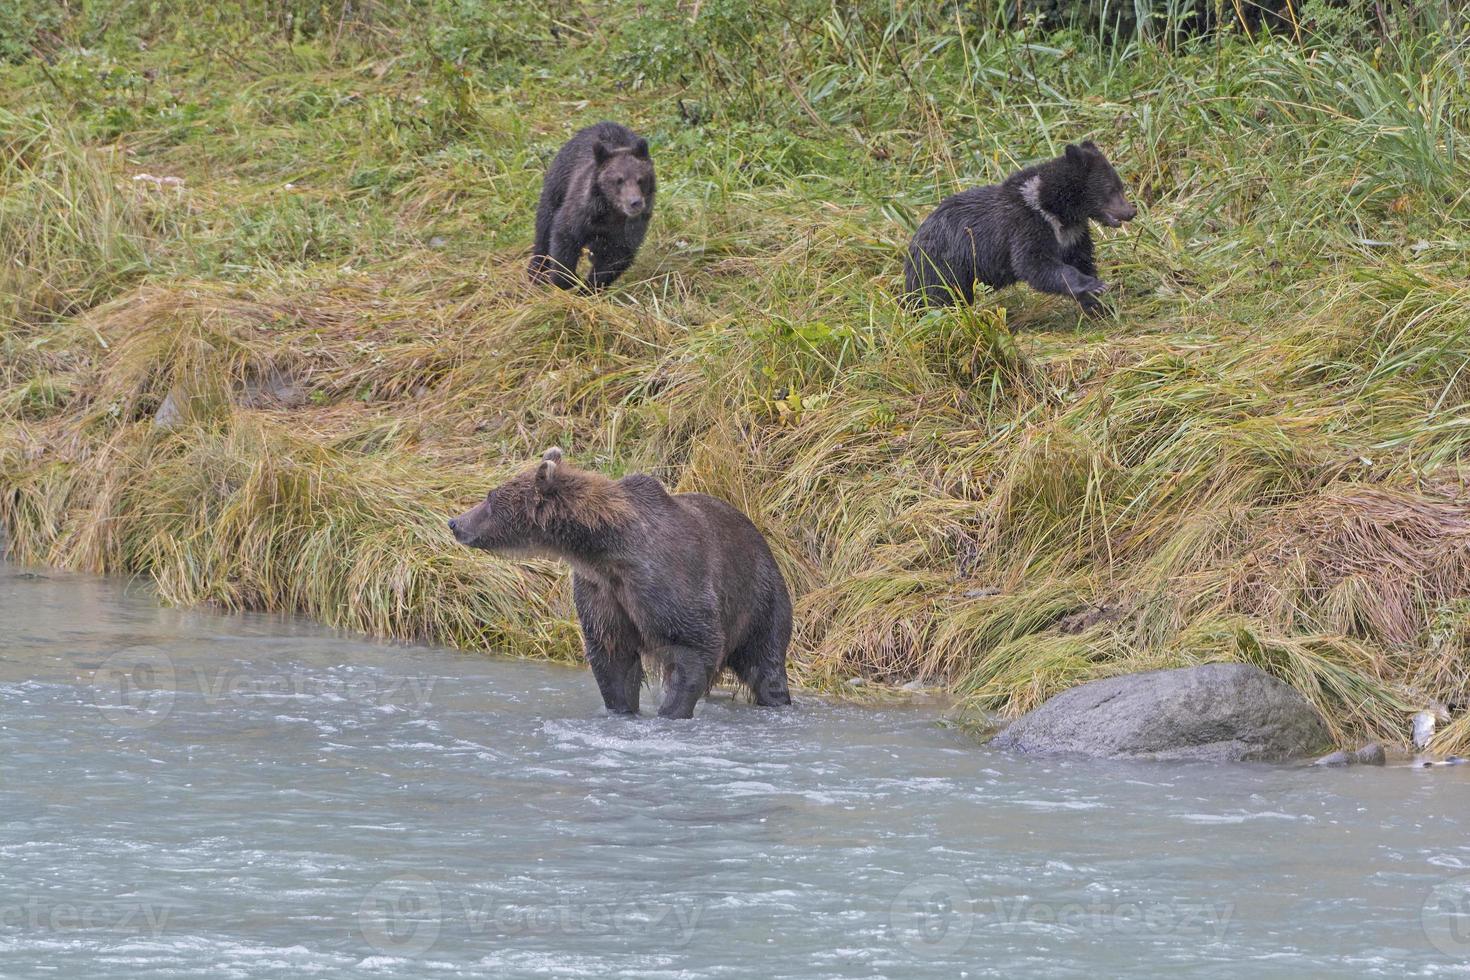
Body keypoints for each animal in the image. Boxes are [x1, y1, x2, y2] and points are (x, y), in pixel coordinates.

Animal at [446, 449, 793, 717]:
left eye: (490, 497)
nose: (455, 522)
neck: (607, 551)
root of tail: (762, 540)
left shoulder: (668, 583)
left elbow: (694, 645)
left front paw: (671, 711)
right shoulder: (601, 591)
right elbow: (613, 657)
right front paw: (622, 709)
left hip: (759, 598)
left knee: (766, 664)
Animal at [529, 121, 655, 290]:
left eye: (640, 179)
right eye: (618, 180)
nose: (635, 202)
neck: (611, 213)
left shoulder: (625, 231)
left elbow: (614, 260)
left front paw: (589, 287)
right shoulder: (582, 212)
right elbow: (564, 237)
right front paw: (565, 280)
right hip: (559, 182)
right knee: (544, 224)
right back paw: (536, 272)